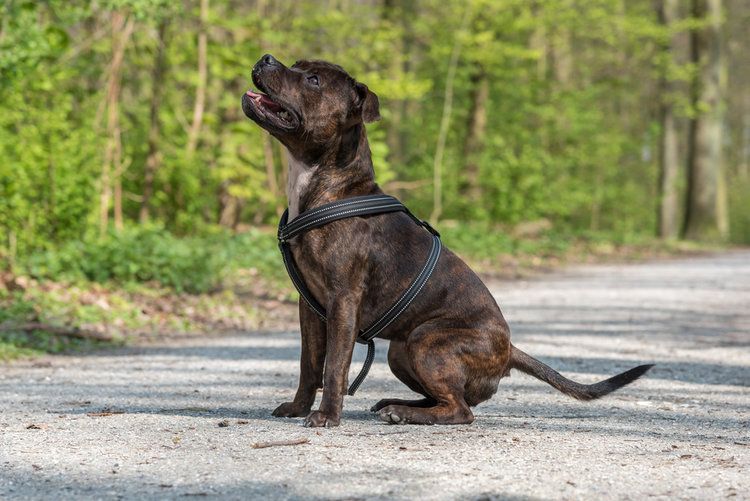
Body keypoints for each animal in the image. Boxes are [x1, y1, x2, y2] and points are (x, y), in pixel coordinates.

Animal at [241, 54, 652, 426]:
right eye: (297, 64)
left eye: (312, 80)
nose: (266, 57)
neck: (326, 187)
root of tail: (508, 350)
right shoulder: (310, 307)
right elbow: (309, 365)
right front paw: (298, 408)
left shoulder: (342, 301)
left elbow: (334, 366)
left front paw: (327, 416)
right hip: (401, 351)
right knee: (446, 398)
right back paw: (398, 405)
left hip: (427, 342)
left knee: (461, 410)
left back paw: (404, 413)